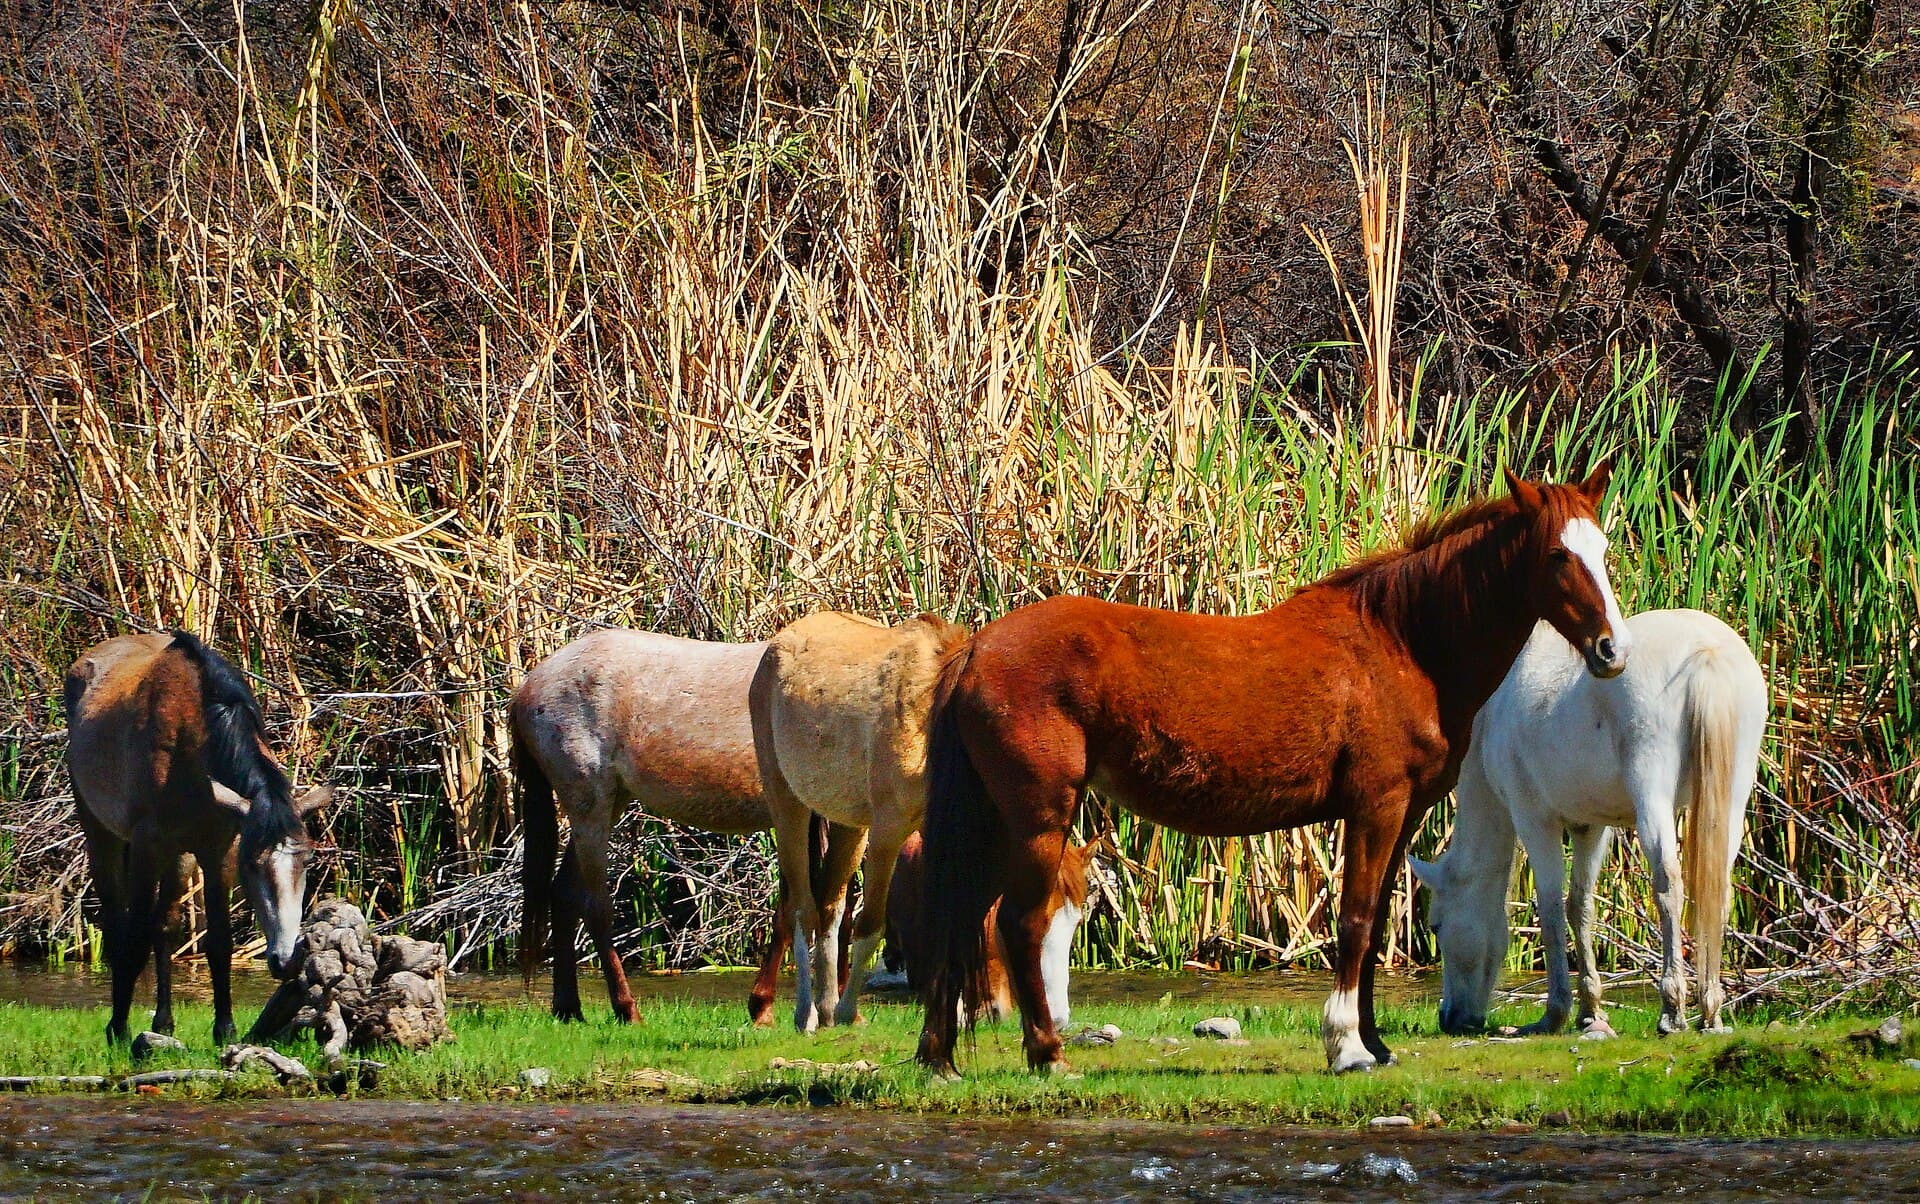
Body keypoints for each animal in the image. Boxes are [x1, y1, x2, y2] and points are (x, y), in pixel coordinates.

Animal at [64, 632, 335, 1045]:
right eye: (253, 864)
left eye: (307, 861)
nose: (286, 959)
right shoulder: (147, 846)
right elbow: (136, 937)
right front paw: (119, 1029)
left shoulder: (217, 850)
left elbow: (219, 940)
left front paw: (225, 1029)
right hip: (100, 830)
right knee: (116, 922)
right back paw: (122, 1023)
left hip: (180, 854)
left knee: (166, 925)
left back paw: (163, 1022)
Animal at [512, 627, 848, 1025]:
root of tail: (530, 685)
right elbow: (801, 904)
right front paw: (765, 1005)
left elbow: (820, 902)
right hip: (589, 808)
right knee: (595, 907)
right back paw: (626, 1009)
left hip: (605, 806)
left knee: (563, 895)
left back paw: (568, 1009)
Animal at [749, 610, 970, 1031]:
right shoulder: (889, 832)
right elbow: (871, 925)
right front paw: (849, 1010)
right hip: (788, 804)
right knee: (802, 909)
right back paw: (808, 1013)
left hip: (849, 826)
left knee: (830, 907)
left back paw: (827, 1009)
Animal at [915, 466, 1630, 1076]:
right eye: (1558, 555)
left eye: (1602, 549)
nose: (1610, 651)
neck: (1404, 644)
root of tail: (977, 648)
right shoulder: (1376, 807)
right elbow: (1356, 920)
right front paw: (1346, 1045)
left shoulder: (1403, 816)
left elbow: (1373, 931)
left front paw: (1374, 1043)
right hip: (1039, 818)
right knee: (1018, 923)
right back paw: (1047, 1054)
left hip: (994, 821)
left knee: (962, 918)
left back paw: (939, 1057)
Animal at [1410, 608, 1766, 1038]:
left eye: (1436, 926)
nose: (1451, 1019)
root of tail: (1705, 648)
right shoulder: (1590, 828)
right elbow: (1580, 906)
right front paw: (1590, 1011)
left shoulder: (1534, 820)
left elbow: (1550, 908)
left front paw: (1555, 1013)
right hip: (1733, 796)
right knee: (1718, 887)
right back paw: (1711, 1009)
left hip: (1652, 792)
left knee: (1668, 881)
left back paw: (1672, 1009)